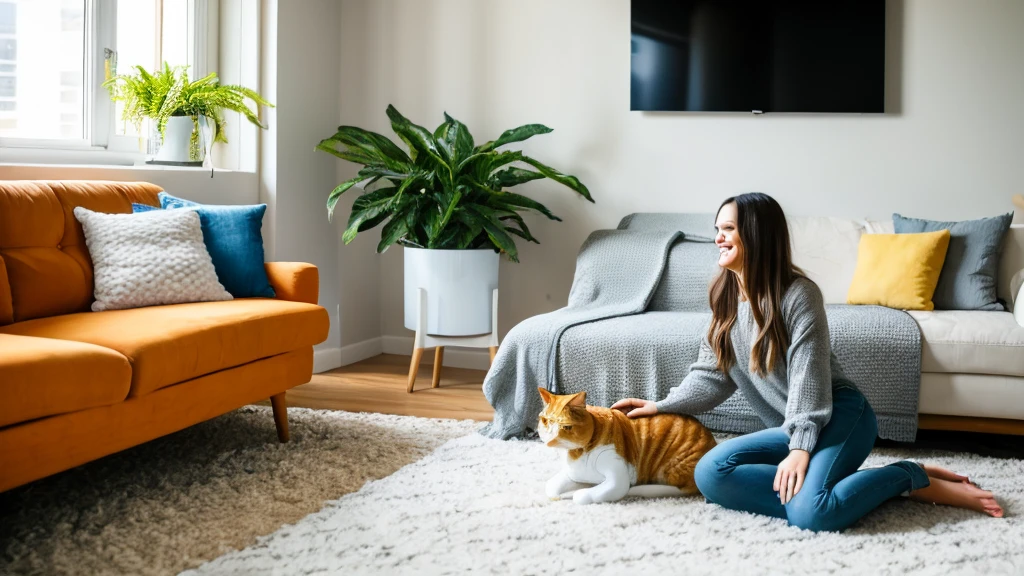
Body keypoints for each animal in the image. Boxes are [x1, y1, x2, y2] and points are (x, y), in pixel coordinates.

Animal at [540, 385, 716, 502]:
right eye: (546, 421)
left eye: (566, 427)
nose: (551, 438)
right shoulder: (574, 474)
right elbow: (551, 487)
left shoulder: (617, 481)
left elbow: (582, 495)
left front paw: (573, 494)